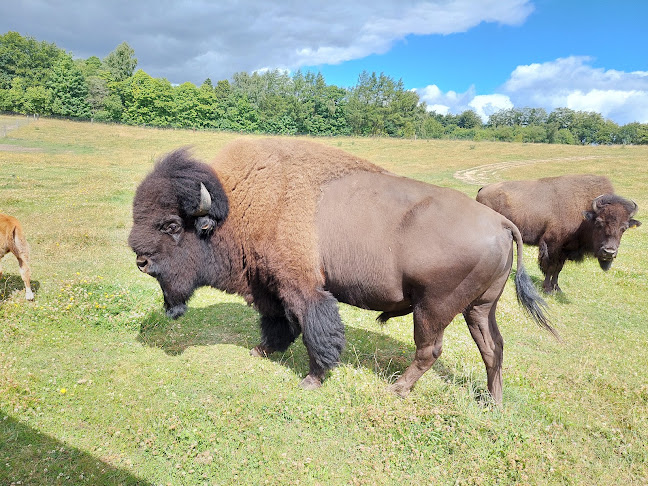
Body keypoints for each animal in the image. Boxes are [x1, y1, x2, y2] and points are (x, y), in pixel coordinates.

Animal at [129, 139, 556, 404]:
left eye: (171, 225)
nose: (140, 259)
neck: (238, 205)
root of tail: (501, 222)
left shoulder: (303, 288)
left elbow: (315, 331)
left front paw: (312, 379)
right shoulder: (270, 286)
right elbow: (278, 323)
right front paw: (262, 350)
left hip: (433, 308)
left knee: (430, 349)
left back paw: (397, 389)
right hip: (479, 308)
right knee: (492, 348)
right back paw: (492, 403)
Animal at [478, 175, 640, 292]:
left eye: (624, 228)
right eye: (599, 223)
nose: (609, 252)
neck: (585, 212)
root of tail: (483, 189)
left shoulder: (565, 250)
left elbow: (558, 269)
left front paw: (557, 288)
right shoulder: (552, 246)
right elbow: (550, 267)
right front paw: (547, 288)